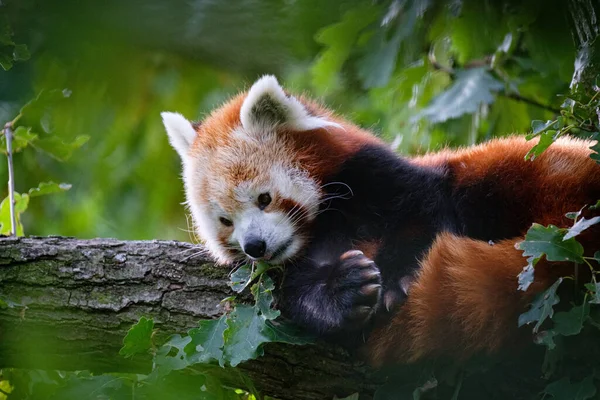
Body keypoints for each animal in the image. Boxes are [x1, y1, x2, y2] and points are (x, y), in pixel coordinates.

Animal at [162, 74, 600, 366]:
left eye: (264, 198)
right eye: (226, 221)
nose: (255, 246)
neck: (324, 229)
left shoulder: (383, 177)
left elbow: (420, 215)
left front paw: (398, 279)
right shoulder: (284, 276)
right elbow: (297, 297)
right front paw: (345, 290)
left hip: (522, 170)